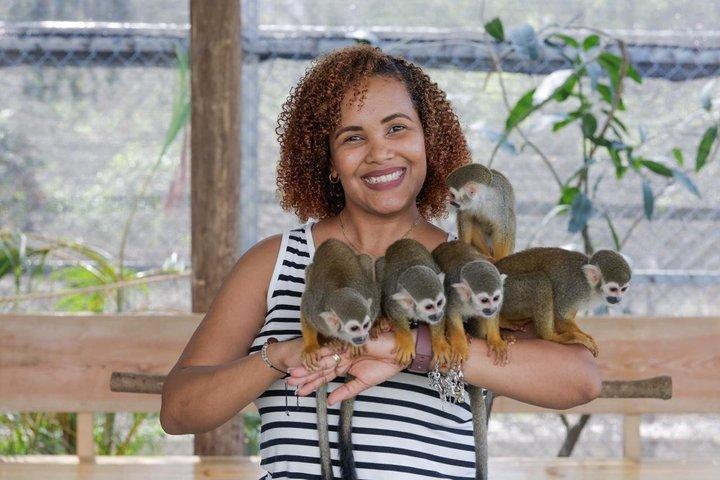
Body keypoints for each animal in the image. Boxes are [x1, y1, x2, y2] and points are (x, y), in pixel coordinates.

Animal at [300, 238, 381, 480]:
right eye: (354, 328)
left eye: (365, 324)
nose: (362, 336)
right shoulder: (314, 308)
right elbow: (305, 312)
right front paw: (311, 346)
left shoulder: (370, 304)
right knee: (309, 273)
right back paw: (328, 341)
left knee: (365, 261)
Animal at [495, 248, 632, 357]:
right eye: (613, 289)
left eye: (623, 289)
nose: (618, 299)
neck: (589, 285)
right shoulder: (575, 289)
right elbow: (560, 314)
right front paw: (582, 335)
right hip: (506, 292)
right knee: (539, 280)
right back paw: (552, 336)